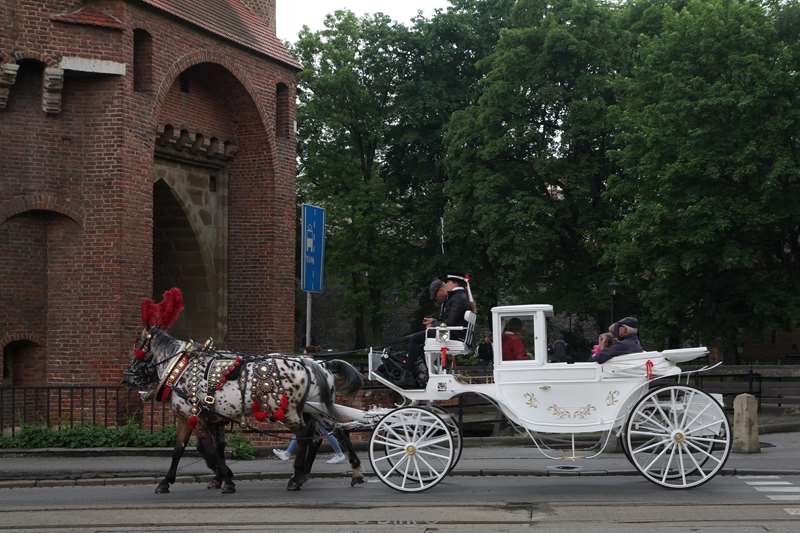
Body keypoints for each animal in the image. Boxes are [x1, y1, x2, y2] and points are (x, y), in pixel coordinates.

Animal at [122, 288, 366, 492]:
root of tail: (316, 364)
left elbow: (209, 449)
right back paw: (351, 472)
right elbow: (183, 449)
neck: (181, 368)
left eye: (138, 344)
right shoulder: (198, 418)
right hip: (315, 409)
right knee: (334, 432)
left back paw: (298, 477)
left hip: (289, 411)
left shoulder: (196, 417)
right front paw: (168, 481)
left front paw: (226, 479)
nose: (127, 376)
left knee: (306, 435)